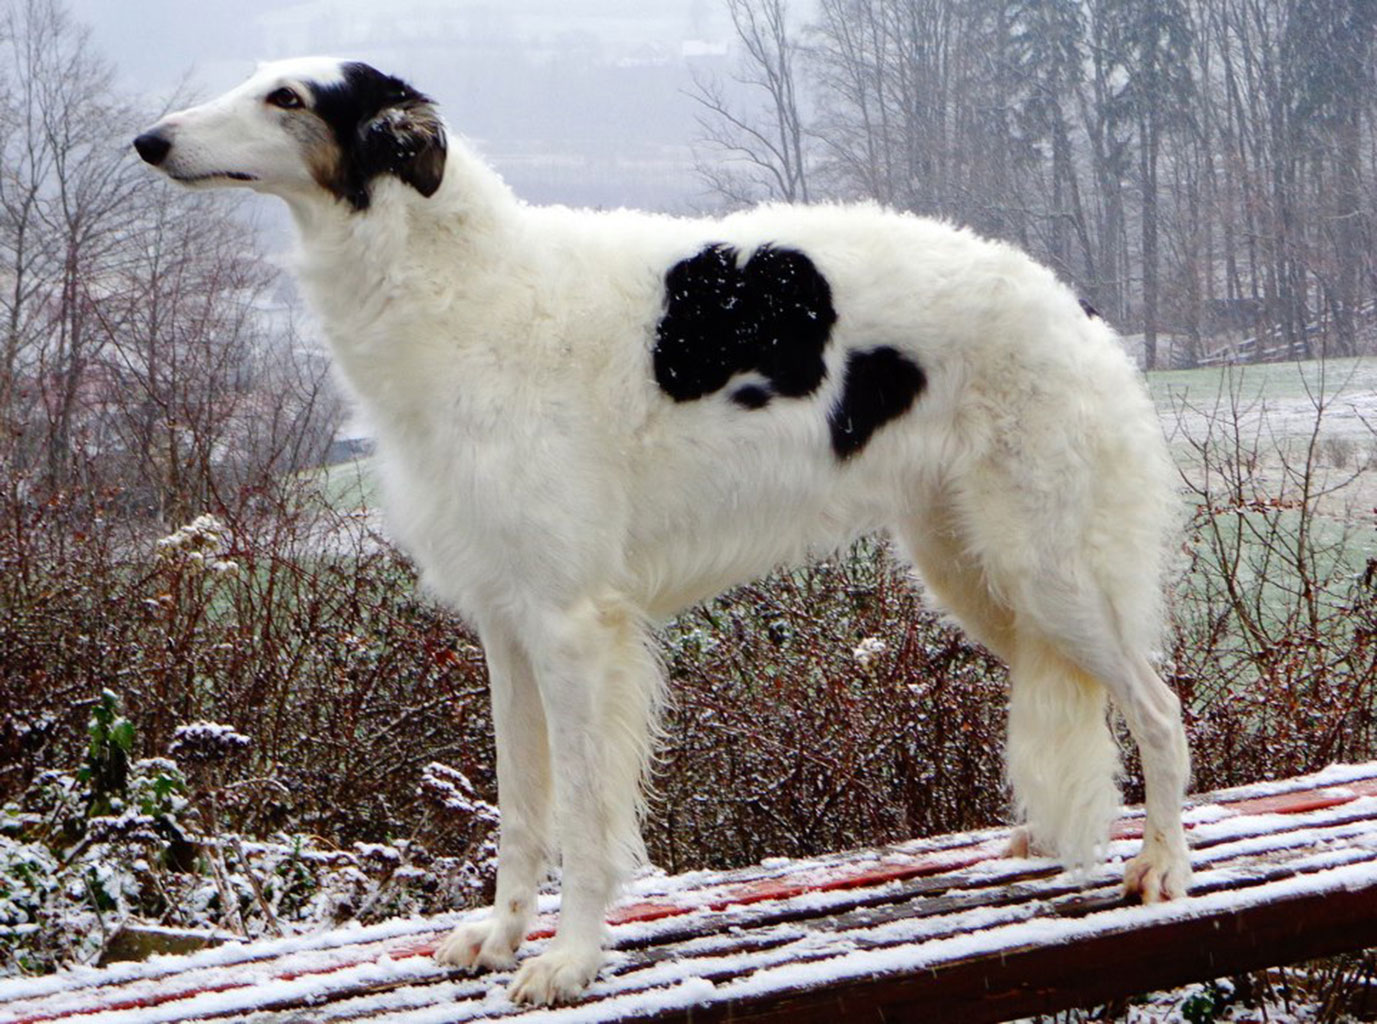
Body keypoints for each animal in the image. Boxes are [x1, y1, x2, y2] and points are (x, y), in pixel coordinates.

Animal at [142, 59, 1195, 1001]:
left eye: (286, 96)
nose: (150, 140)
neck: (467, 288)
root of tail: (1072, 304)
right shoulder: (505, 621)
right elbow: (520, 809)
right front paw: (499, 936)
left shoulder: (572, 624)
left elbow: (580, 814)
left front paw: (568, 960)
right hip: (970, 569)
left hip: (1048, 564)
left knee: (1157, 705)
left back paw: (1163, 866)